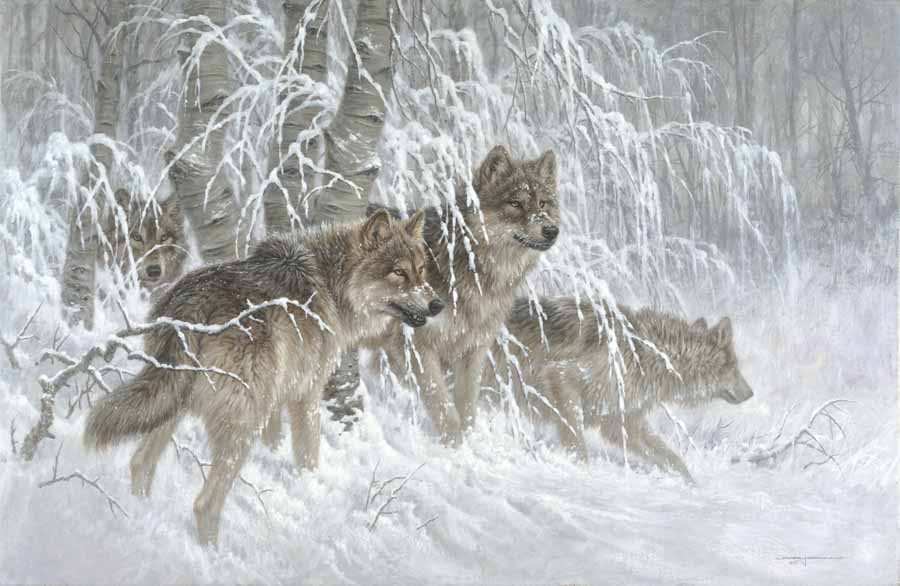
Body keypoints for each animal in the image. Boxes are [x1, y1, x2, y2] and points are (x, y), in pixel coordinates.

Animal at [84, 209, 442, 545]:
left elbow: (275, 440)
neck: (330, 283)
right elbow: (308, 454)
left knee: (141, 463)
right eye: (399, 272)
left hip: (174, 405)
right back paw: (211, 554)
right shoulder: (306, 394)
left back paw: (138, 517)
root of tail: (192, 305)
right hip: (241, 422)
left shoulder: (277, 397)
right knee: (204, 503)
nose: (437, 304)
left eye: (421, 269)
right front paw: (311, 489)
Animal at [363, 145, 560, 446]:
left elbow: (466, 408)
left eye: (543, 204)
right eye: (515, 203)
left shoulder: (473, 349)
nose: (551, 230)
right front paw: (453, 448)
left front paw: (466, 443)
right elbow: (443, 407)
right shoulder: (414, 346)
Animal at [491, 297, 754, 482]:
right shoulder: (561, 378)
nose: (751, 392)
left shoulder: (621, 421)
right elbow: (578, 445)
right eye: (734, 367)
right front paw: (581, 473)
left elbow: (672, 458)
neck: (646, 355)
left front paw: (691, 484)